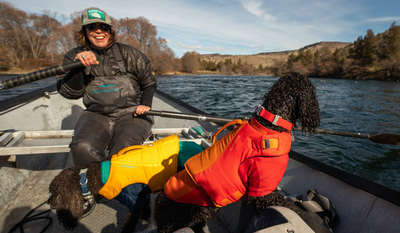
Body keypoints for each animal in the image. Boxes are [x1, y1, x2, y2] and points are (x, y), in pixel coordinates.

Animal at [155, 72, 320, 232]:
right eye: (312, 88)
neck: (271, 124)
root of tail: (160, 200)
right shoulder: (263, 193)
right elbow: (294, 209)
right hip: (193, 213)